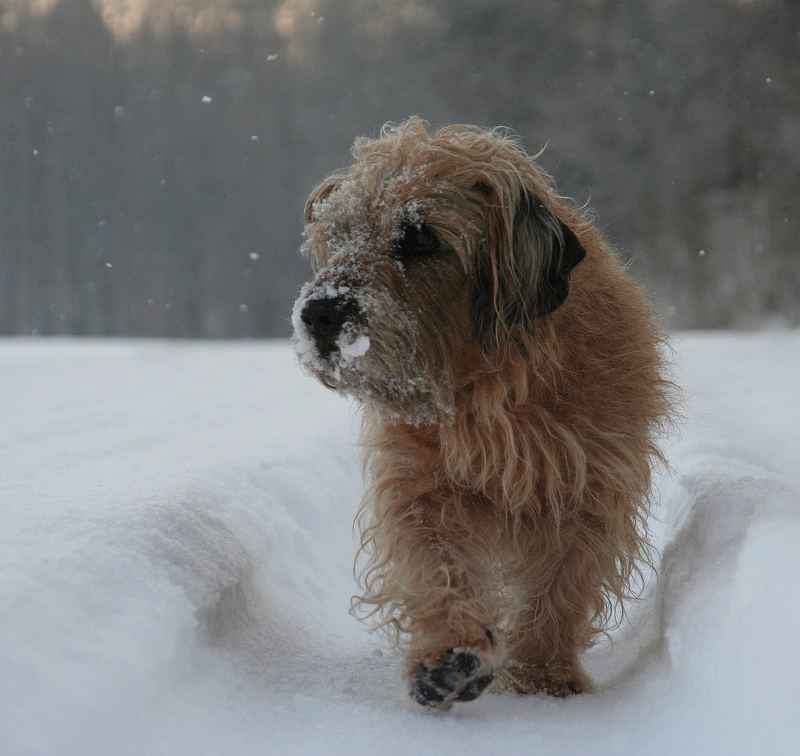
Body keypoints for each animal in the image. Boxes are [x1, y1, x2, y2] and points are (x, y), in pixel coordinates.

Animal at [290, 118, 672, 708]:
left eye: (420, 237)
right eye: (340, 234)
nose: (318, 314)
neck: (487, 389)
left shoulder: (591, 486)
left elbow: (563, 580)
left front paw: (541, 673)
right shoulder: (420, 484)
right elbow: (433, 563)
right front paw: (448, 652)